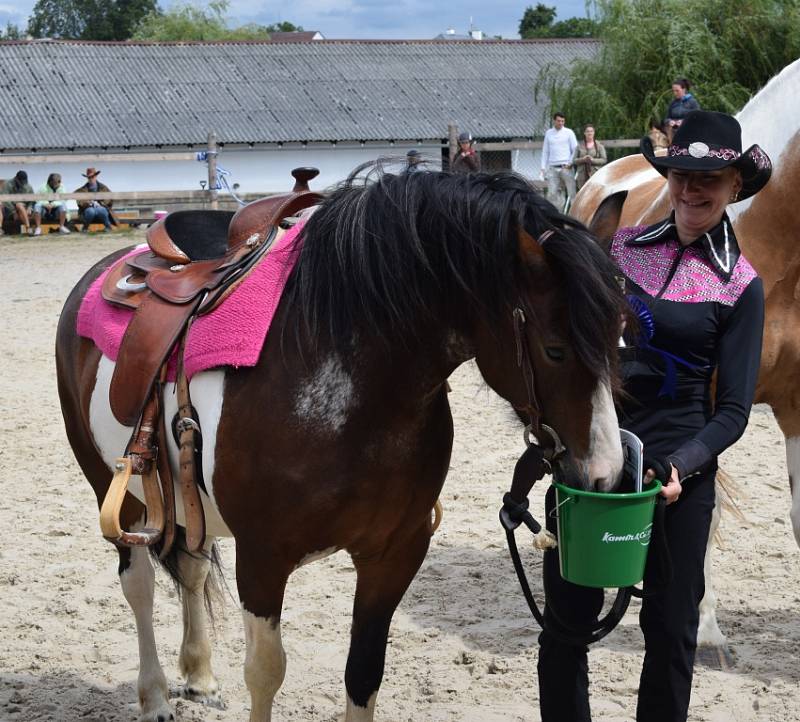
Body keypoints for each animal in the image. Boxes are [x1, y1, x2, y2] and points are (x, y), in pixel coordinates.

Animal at [59, 170, 628, 720]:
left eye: (619, 337)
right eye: (555, 349)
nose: (605, 471)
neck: (343, 383)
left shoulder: (394, 554)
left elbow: (364, 672)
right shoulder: (262, 557)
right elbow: (265, 672)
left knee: (194, 568)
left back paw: (199, 678)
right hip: (116, 492)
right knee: (138, 585)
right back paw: (154, 698)